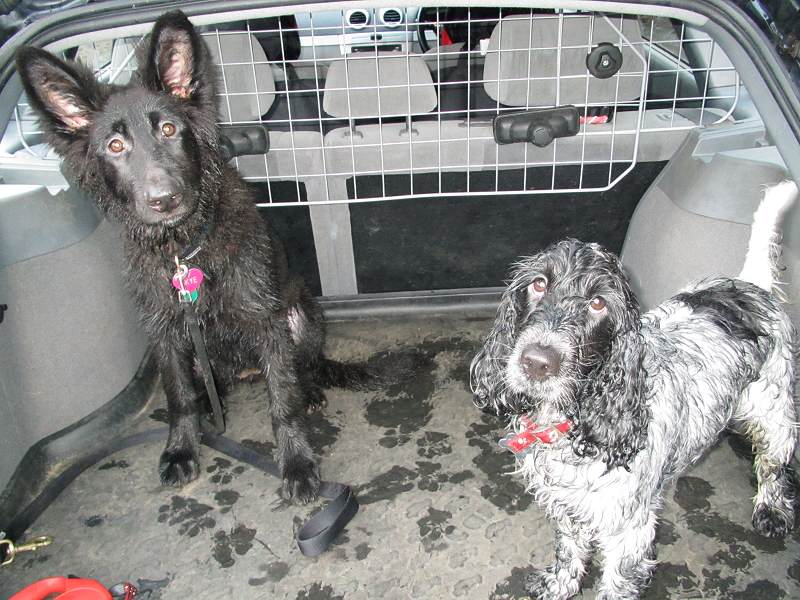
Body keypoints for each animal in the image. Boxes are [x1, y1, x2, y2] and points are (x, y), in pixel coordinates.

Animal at [15, 11, 372, 504]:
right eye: (114, 146)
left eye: (169, 129)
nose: (164, 199)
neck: (183, 249)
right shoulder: (166, 332)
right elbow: (179, 396)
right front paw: (182, 449)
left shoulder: (266, 322)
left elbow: (283, 401)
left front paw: (297, 464)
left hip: (301, 317)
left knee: (304, 367)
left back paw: (311, 389)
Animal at [472, 180, 796, 596]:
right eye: (539, 284)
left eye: (598, 303)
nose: (537, 362)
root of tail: (752, 285)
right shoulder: (568, 504)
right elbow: (568, 549)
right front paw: (559, 585)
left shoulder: (627, 527)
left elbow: (616, 582)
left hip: (773, 409)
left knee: (773, 463)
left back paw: (772, 511)